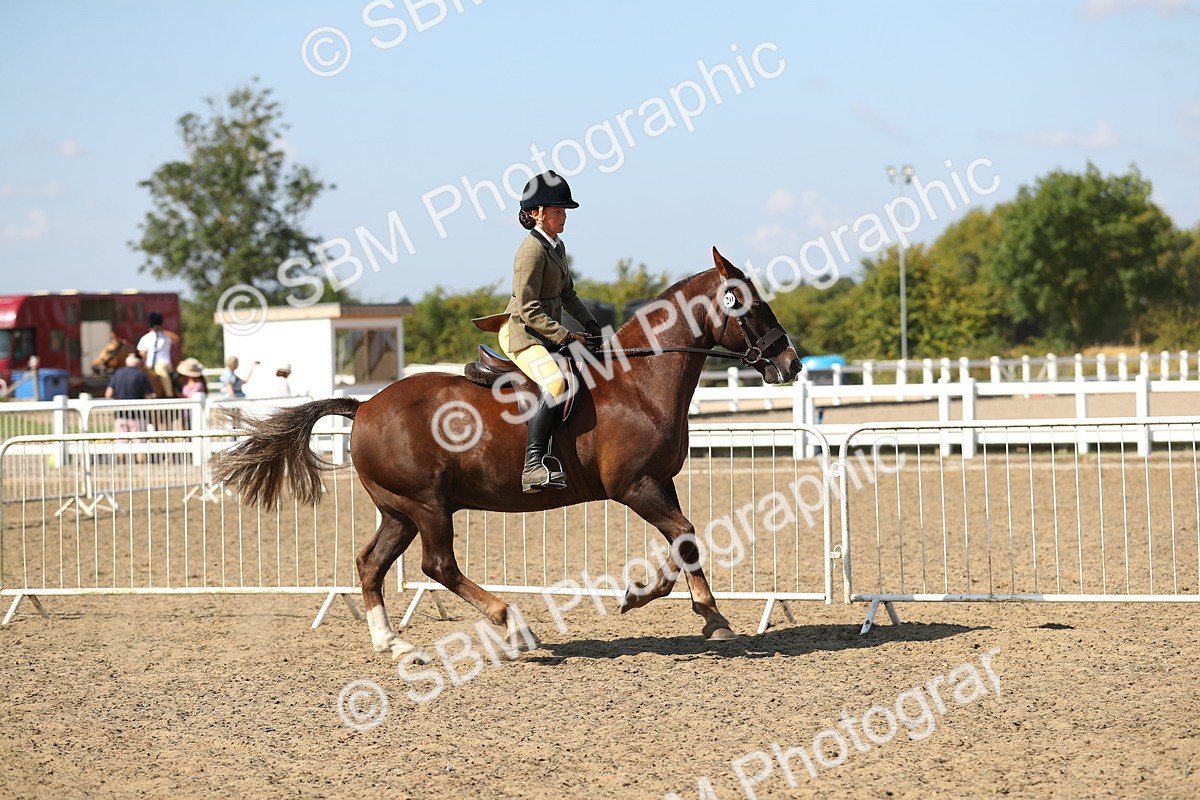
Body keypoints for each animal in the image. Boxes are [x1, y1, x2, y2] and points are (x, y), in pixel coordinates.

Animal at [211, 249, 803, 658]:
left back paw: (393, 644)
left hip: (399, 510)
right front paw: (672, 603)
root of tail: (364, 406)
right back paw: (515, 625)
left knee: (371, 563)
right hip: (428, 505)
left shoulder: (660, 481)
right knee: (438, 565)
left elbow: (684, 541)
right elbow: (685, 535)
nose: (791, 364)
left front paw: (685, 608)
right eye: (750, 304)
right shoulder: (634, 487)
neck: (639, 381)